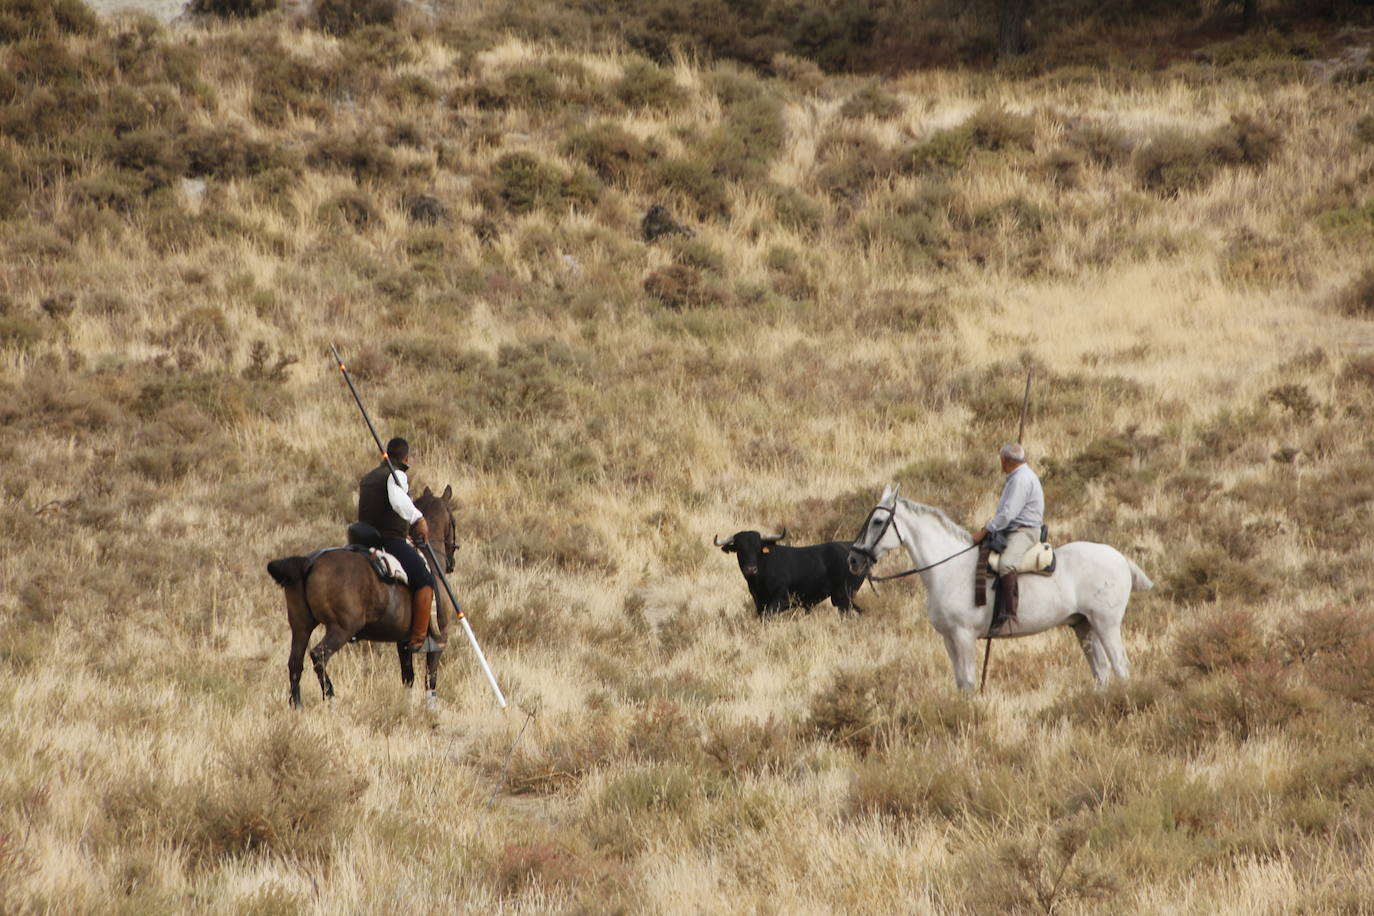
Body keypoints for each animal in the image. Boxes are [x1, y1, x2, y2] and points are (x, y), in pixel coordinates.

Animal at [265, 486, 458, 708]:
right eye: (453, 520)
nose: (451, 563)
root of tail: (308, 562)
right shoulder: (440, 638)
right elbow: (430, 677)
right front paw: (431, 709)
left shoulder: (403, 642)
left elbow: (407, 677)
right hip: (342, 628)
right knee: (319, 656)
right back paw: (331, 699)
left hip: (301, 626)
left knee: (295, 662)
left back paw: (297, 706)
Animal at [714, 530, 862, 615]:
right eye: (739, 549)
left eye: (758, 547)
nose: (750, 569)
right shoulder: (759, 603)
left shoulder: (782, 601)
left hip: (843, 597)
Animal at [846, 486, 1148, 686]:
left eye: (878, 521)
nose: (853, 559)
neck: (950, 569)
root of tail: (1121, 558)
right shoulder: (949, 639)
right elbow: (960, 682)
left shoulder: (964, 636)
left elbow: (968, 682)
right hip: (1084, 625)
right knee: (1101, 670)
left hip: (1106, 624)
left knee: (1121, 667)